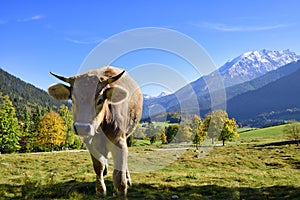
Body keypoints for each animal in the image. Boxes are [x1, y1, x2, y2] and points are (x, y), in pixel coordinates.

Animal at [47, 66, 143, 197]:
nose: (82, 127)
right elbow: (98, 166)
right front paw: (100, 190)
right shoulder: (90, 143)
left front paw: (122, 189)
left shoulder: (119, 141)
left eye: (100, 100)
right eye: (73, 99)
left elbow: (119, 175)